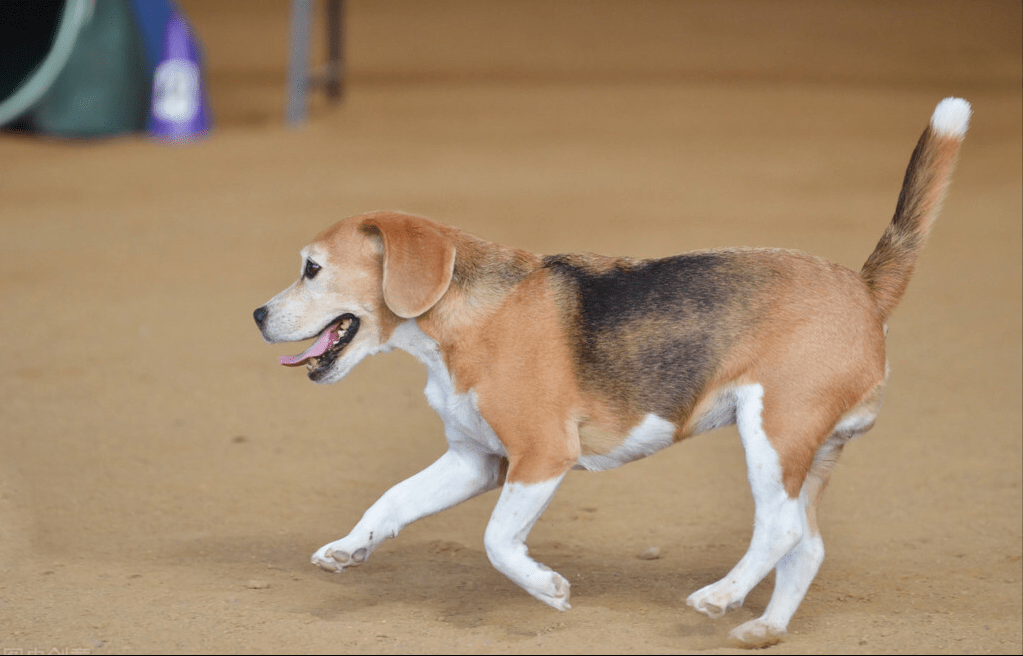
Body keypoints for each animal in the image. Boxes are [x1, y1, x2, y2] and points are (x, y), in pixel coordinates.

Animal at [253, 97, 965, 646]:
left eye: (312, 269)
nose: (257, 314)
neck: (467, 318)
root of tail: (863, 286)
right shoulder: (475, 459)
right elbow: (393, 499)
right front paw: (348, 547)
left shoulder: (541, 456)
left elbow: (496, 540)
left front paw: (548, 588)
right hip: (809, 453)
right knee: (806, 546)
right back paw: (762, 627)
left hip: (772, 432)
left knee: (782, 528)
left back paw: (719, 595)